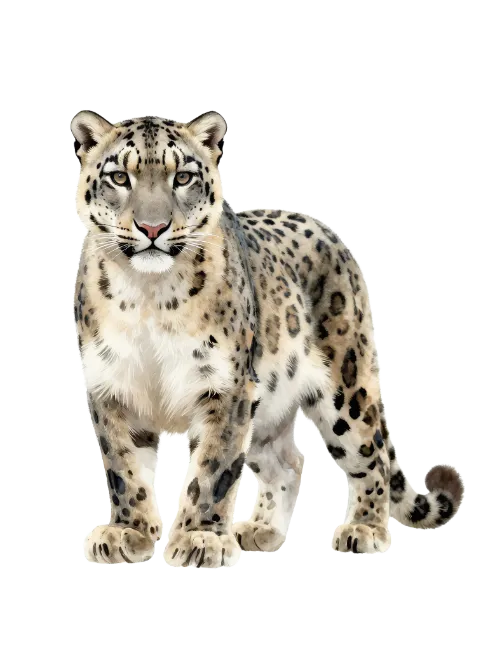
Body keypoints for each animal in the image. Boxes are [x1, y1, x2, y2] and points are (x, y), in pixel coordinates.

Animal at [72, 110, 464, 566]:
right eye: (119, 176)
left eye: (183, 176)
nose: (153, 227)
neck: (148, 296)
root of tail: (329, 232)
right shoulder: (112, 385)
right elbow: (123, 466)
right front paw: (128, 533)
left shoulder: (225, 388)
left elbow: (212, 469)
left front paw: (199, 539)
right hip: (266, 409)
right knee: (290, 462)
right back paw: (261, 530)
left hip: (346, 390)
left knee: (373, 457)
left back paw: (364, 530)